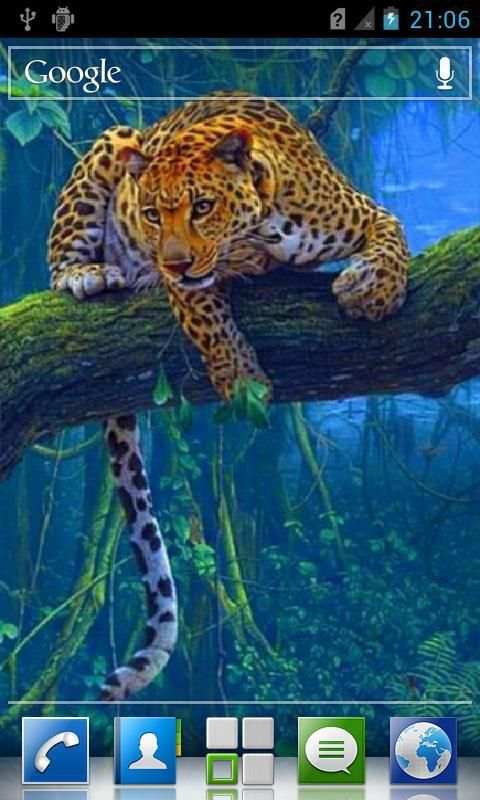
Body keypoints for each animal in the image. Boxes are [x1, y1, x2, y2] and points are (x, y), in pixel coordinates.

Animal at [48, 92, 409, 700]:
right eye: (151, 214)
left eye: (202, 206)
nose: (170, 260)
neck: (265, 227)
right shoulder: (186, 285)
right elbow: (209, 319)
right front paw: (242, 382)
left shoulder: (362, 210)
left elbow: (394, 235)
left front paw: (374, 291)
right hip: (112, 143)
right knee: (58, 264)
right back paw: (87, 274)